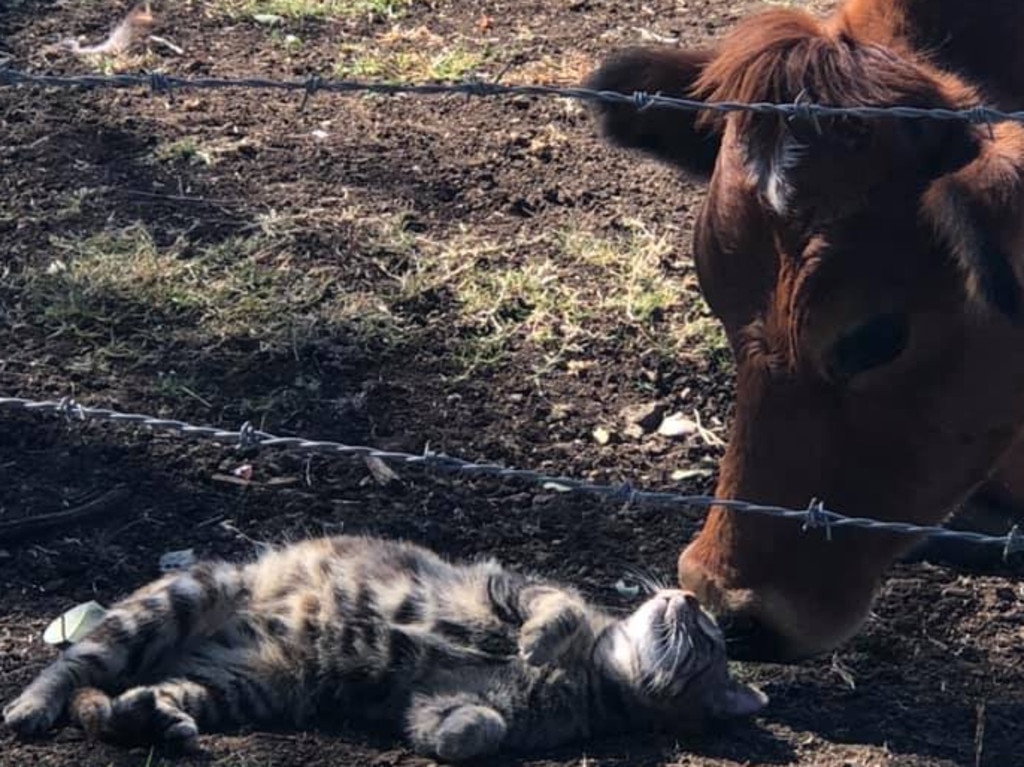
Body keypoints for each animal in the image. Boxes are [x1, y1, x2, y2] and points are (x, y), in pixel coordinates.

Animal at [4, 532, 765, 761]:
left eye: (708, 636)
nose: (689, 596)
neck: (594, 678)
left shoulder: (438, 700)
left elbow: (478, 727)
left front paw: (456, 736)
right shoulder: (507, 583)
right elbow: (556, 611)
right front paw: (540, 637)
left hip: (240, 683)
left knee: (117, 703)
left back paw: (151, 718)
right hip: (190, 592)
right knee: (75, 662)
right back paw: (31, 706)